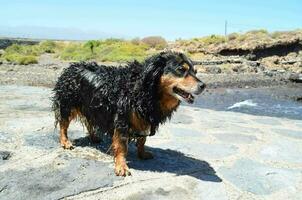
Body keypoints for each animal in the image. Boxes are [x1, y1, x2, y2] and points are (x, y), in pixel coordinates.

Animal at [53, 50, 206, 176]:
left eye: (195, 71)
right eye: (181, 69)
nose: (203, 85)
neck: (147, 90)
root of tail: (71, 67)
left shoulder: (145, 119)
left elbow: (143, 139)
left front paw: (142, 153)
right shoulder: (122, 120)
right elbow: (122, 146)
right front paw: (121, 166)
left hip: (92, 107)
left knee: (90, 122)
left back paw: (94, 137)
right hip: (67, 104)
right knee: (63, 124)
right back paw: (65, 142)